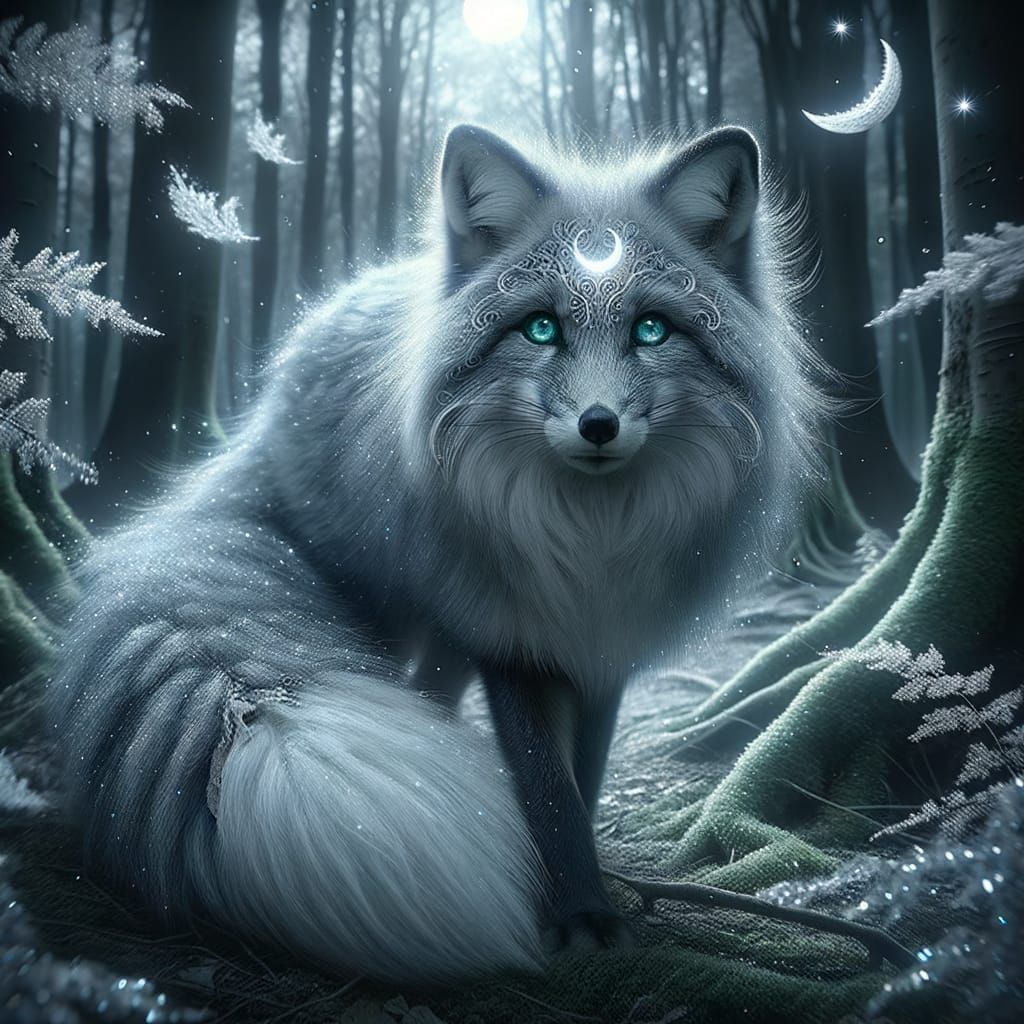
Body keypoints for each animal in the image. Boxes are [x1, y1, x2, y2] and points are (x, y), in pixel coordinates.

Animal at [49, 124, 823, 983]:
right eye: (541, 328)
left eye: (651, 329)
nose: (597, 425)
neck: (589, 541)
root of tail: (272, 400)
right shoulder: (511, 634)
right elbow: (548, 790)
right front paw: (577, 914)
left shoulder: (603, 646)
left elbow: (582, 780)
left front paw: (586, 893)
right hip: (391, 609)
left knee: (431, 692)